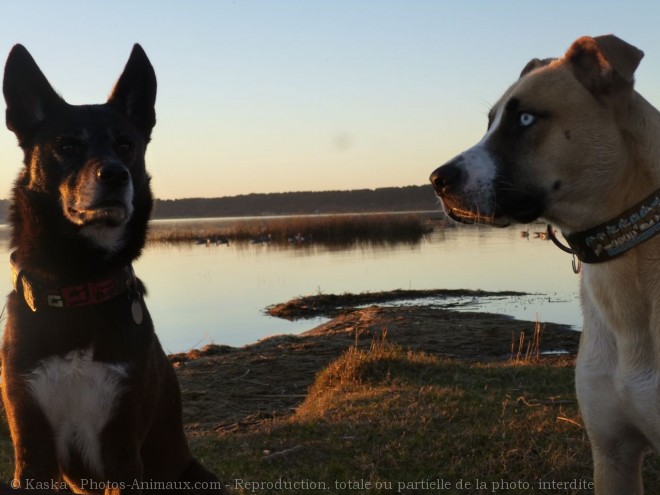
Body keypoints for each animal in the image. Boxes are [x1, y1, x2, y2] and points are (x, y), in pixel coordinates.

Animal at [1, 44, 223, 494]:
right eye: (67, 145)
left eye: (126, 145)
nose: (116, 175)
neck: (77, 285)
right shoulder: (30, 444)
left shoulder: (121, 446)